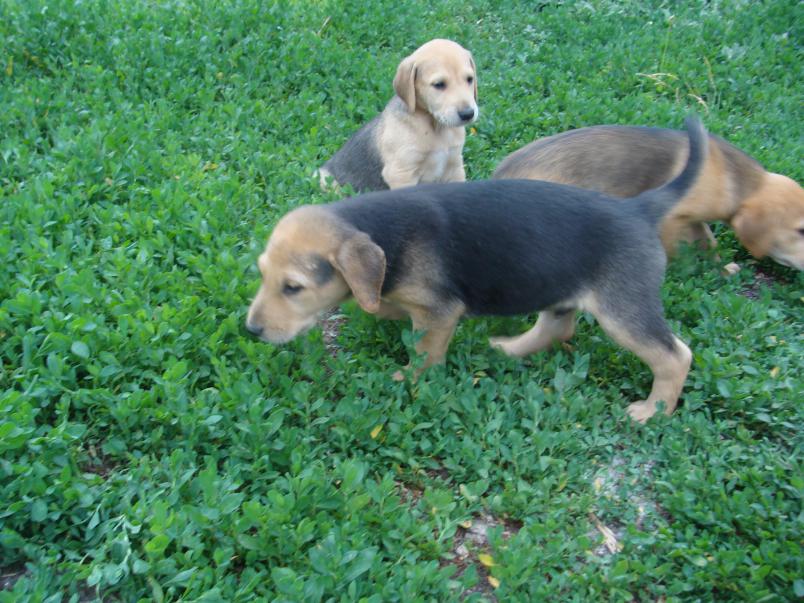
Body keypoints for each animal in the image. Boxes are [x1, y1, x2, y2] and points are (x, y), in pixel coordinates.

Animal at [248, 117, 707, 423]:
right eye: (262, 273)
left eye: (294, 288)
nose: (251, 331)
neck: (380, 229)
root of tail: (639, 208)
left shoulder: (439, 312)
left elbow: (425, 351)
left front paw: (409, 379)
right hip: (557, 283)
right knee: (557, 327)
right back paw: (508, 348)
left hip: (622, 307)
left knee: (674, 355)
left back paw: (653, 410)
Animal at [317, 39, 478, 192]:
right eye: (439, 84)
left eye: (470, 79)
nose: (468, 114)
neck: (436, 127)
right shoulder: (401, 173)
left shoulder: (455, 167)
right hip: (327, 182)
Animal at [493, 125, 804, 270]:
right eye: (800, 230)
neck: (734, 177)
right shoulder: (672, 218)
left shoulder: (694, 219)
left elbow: (708, 241)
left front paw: (721, 267)